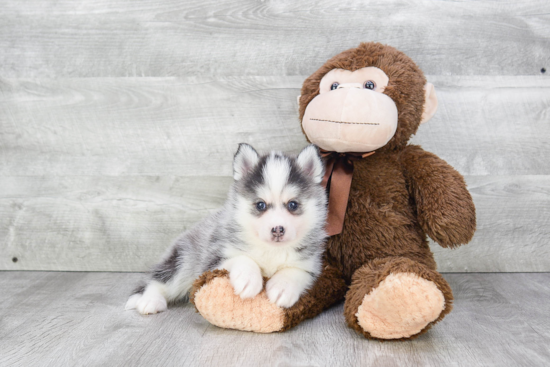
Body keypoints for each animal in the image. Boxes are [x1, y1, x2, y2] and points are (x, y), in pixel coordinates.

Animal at [126, 143, 328, 314]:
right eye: (260, 205)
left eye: (293, 205)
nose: (278, 229)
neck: (270, 251)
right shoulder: (213, 259)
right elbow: (242, 258)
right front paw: (248, 279)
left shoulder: (309, 264)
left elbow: (294, 271)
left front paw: (282, 287)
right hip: (183, 260)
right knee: (159, 280)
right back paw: (149, 300)